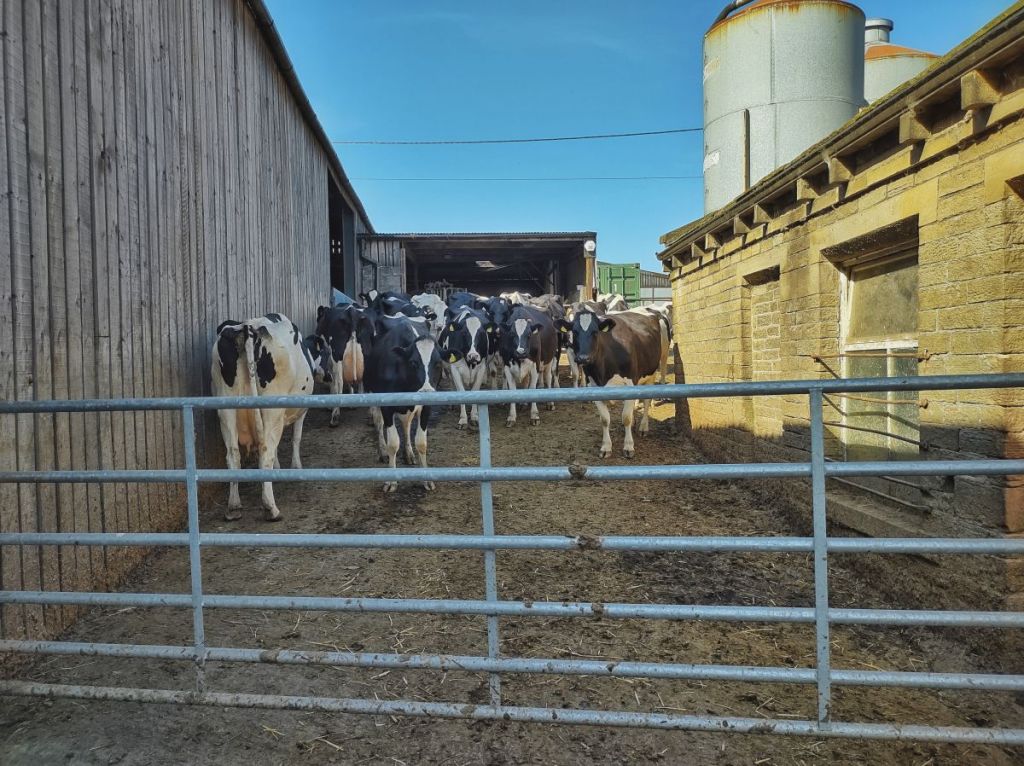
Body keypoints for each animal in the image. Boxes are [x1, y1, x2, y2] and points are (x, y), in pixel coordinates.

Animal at [211, 313, 328, 521]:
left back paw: (233, 507)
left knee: (233, 454)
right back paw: (271, 508)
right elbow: (296, 438)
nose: (328, 375)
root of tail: (248, 327)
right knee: (265, 451)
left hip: (226, 408)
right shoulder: (302, 410)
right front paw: (296, 467)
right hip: (272, 409)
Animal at [364, 315, 442, 492]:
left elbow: (421, 442)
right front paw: (391, 481)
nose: (426, 391)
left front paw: (426, 479)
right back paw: (383, 452)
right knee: (379, 423)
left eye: (438, 363)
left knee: (406, 425)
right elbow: (393, 443)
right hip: (370, 392)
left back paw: (409, 454)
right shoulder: (386, 406)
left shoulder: (426, 407)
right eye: (413, 363)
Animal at [557, 308, 667, 459]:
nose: (583, 358)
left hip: (652, 372)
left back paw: (643, 427)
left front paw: (628, 446)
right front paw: (606, 447)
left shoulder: (629, 384)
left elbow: (626, 417)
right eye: (574, 332)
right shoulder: (594, 388)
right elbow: (605, 419)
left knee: (646, 401)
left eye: (595, 332)